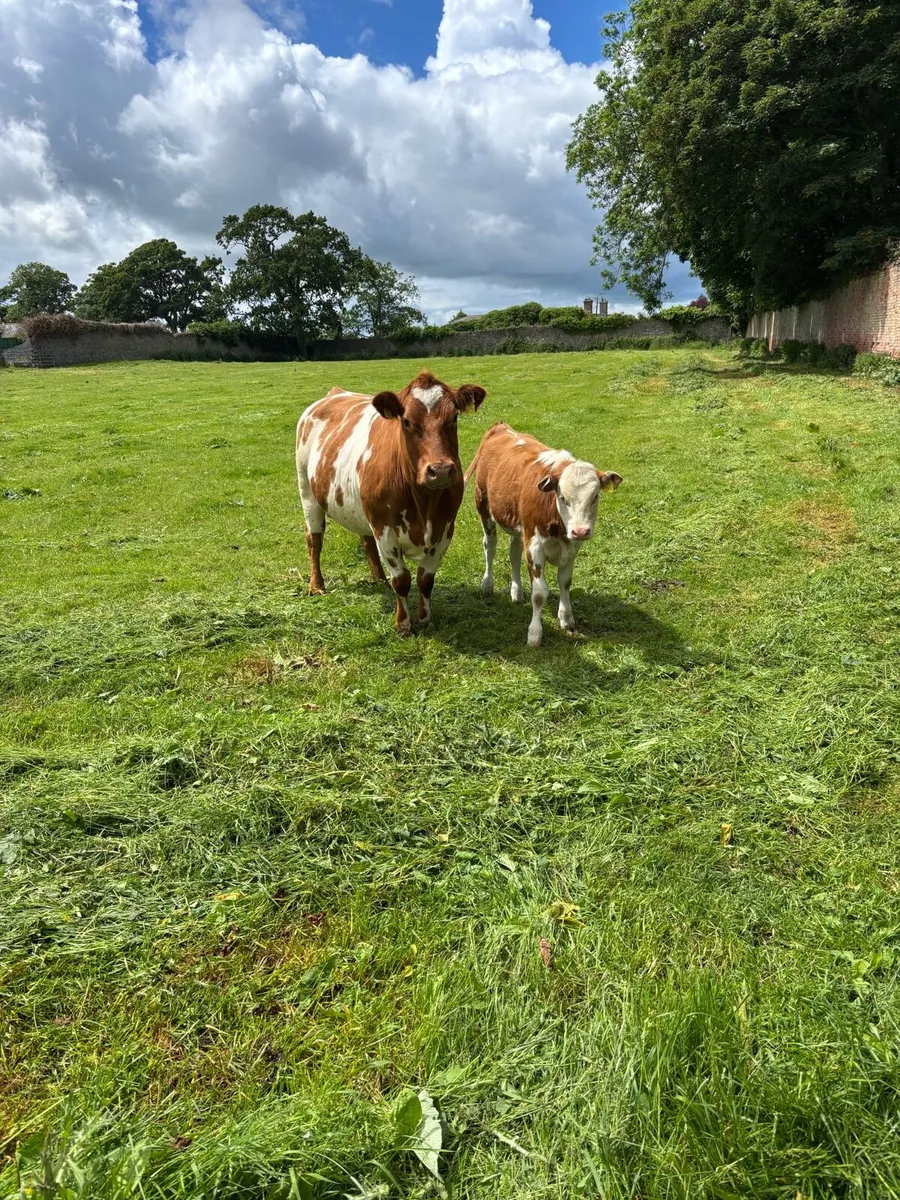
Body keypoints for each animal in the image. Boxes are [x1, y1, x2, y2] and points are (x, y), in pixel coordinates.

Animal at [296, 370, 487, 637]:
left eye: (454, 417)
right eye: (406, 421)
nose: (439, 470)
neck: (424, 504)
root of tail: (335, 393)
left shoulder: (446, 530)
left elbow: (425, 580)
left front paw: (425, 618)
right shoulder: (385, 530)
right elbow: (402, 580)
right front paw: (403, 625)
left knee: (365, 540)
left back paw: (379, 579)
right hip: (307, 491)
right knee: (314, 540)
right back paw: (317, 585)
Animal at [466, 423, 623, 647]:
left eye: (595, 496)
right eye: (562, 497)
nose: (580, 531)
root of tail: (500, 427)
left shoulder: (572, 547)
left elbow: (565, 582)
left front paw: (566, 618)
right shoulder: (534, 545)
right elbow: (540, 593)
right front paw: (534, 633)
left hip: (518, 525)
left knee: (514, 554)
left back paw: (517, 591)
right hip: (484, 506)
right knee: (490, 546)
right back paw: (487, 585)